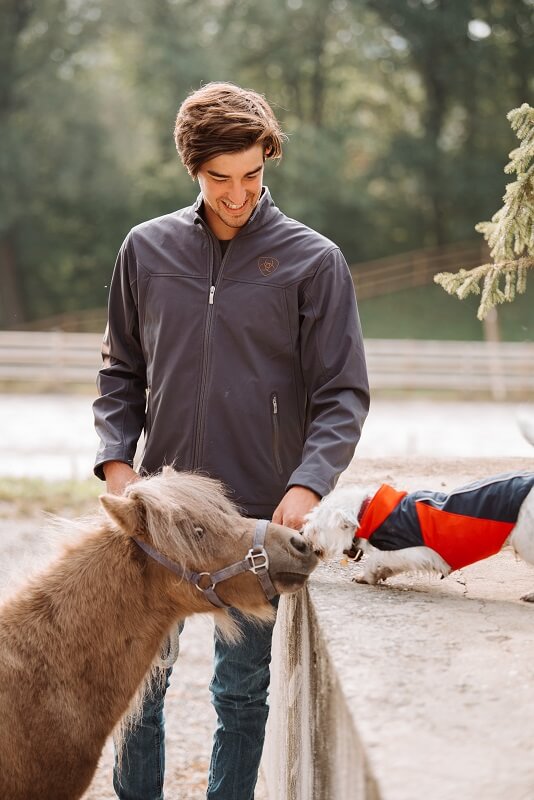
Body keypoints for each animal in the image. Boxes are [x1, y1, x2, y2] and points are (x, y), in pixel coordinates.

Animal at [304, 472, 534, 596]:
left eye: (315, 529)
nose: (302, 534)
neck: (366, 512)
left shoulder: (412, 550)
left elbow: (376, 559)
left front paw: (366, 576)